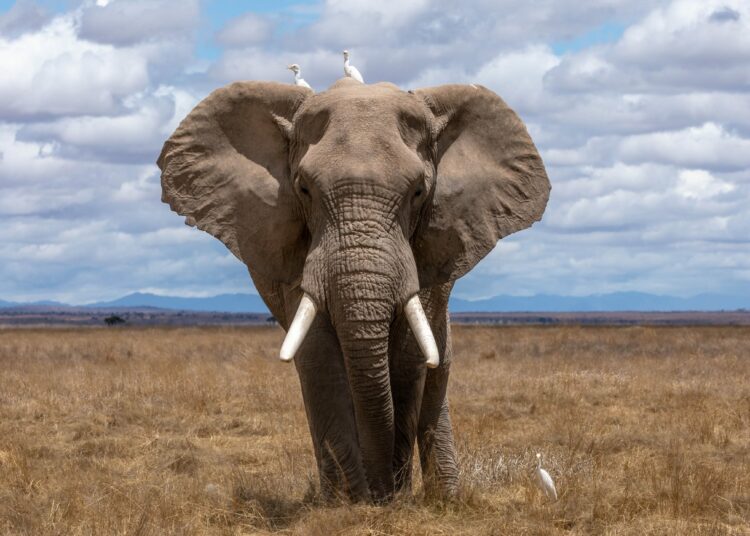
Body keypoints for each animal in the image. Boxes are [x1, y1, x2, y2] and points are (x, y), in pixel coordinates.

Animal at [157, 78, 550, 503]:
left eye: (418, 192)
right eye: (304, 189)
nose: (381, 493)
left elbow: (409, 358)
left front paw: (391, 498)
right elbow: (319, 357)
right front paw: (349, 503)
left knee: (437, 368)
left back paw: (445, 497)